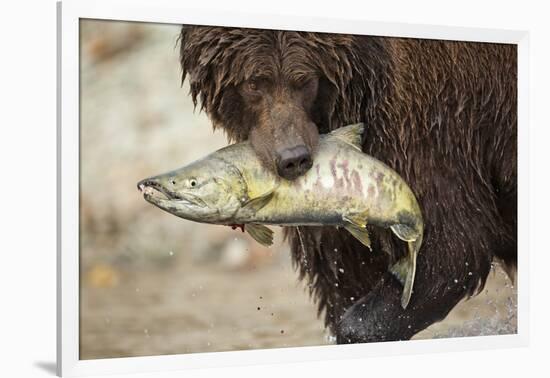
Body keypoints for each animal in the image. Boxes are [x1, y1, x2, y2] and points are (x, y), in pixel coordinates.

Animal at [179, 27, 520, 342]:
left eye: (305, 80)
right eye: (254, 83)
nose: (293, 158)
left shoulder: (426, 128)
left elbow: (451, 250)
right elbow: (342, 270)